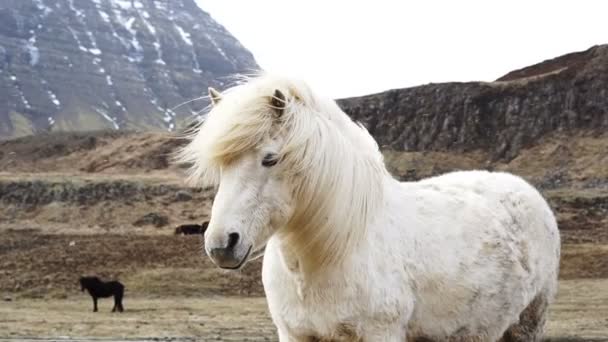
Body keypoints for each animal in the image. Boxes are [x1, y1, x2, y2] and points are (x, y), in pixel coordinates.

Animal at [176, 73, 560, 340]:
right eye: (221, 167)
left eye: (270, 158)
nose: (222, 245)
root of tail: (526, 192)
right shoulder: (296, 334)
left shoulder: (379, 333)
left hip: (527, 324)